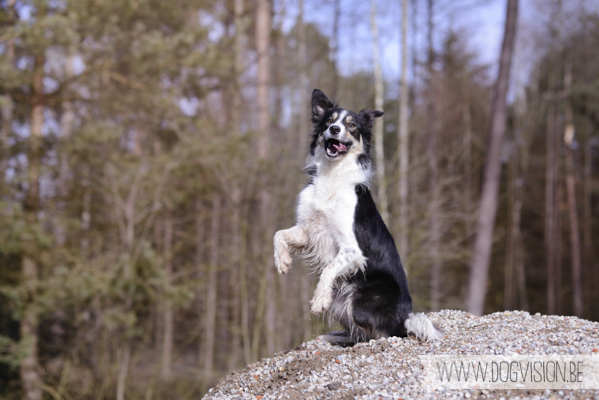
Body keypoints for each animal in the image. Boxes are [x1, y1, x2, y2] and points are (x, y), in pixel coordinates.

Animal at [274, 90, 442, 344]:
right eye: (328, 121)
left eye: (351, 125)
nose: (334, 129)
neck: (332, 174)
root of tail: (403, 320)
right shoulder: (309, 229)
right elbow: (278, 234)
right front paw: (282, 261)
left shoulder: (352, 250)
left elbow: (329, 269)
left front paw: (319, 299)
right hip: (340, 303)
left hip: (361, 301)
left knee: (381, 333)